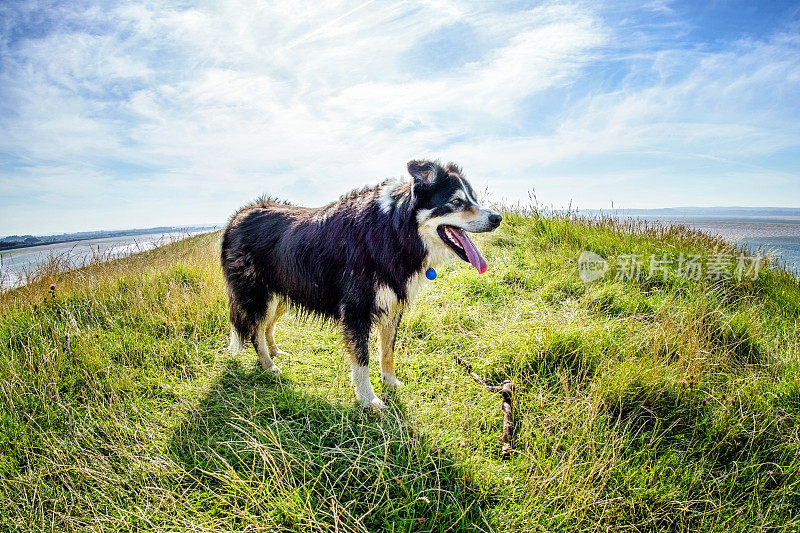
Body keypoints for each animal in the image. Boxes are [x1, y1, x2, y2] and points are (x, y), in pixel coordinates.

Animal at [220, 159, 500, 408]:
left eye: (473, 199)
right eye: (456, 202)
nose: (497, 218)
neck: (395, 230)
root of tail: (235, 218)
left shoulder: (393, 307)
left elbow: (387, 352)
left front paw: (391, 383)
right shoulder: (356, 311)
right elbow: (362, 360)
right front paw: (369, 400)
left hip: (283, 294)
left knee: (267, 326)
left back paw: (276, 352)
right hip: (257, 296)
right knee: (255, 331)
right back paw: (269, 365)